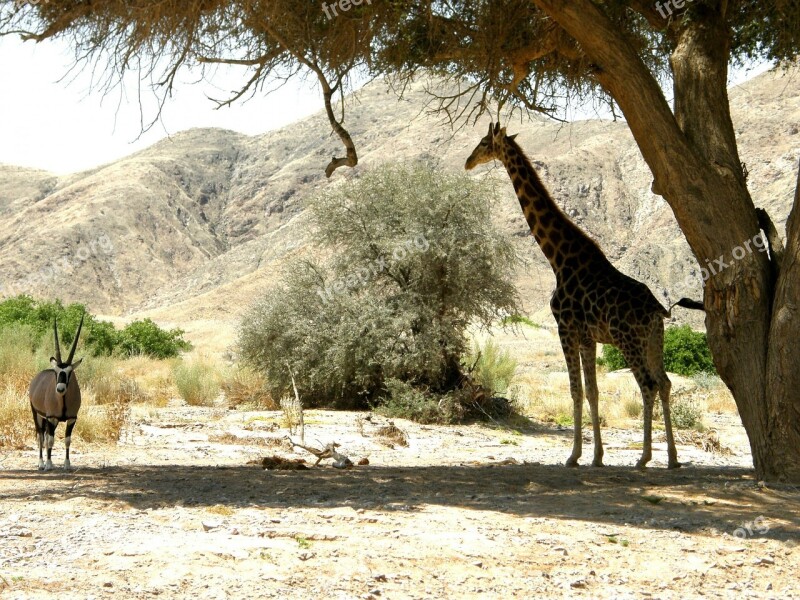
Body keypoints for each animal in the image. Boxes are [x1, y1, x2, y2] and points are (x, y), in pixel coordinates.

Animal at [466, 122, 696, 468]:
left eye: (483, 142)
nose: (468, 162)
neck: (558, 259)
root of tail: (659, 310)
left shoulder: (566, 328)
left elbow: (575, 390)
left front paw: (573, 455)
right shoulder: (589, 337)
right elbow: (593, 392)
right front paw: (596, 456)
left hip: (628, 339)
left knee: (648, 385)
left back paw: (644, 457)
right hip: (654, 339)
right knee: (665, 383)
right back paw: (671, 458)